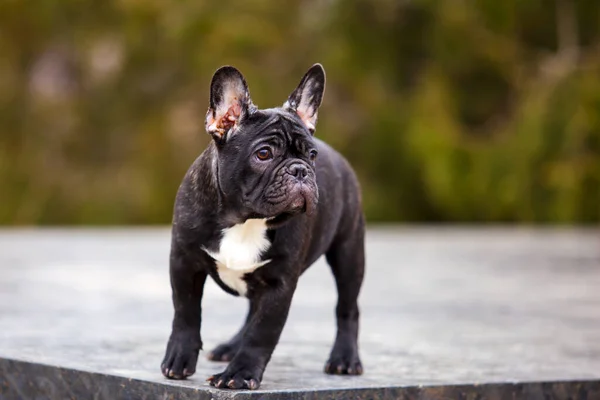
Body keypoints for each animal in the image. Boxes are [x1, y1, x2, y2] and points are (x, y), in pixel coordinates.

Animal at [161, 64, 366, 390]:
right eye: (264, 154)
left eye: (312, 155)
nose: (300, 170)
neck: (245, 219)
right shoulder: (184, 262)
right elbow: (186, 313)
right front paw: (179, 358)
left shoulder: (279, 284)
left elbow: (263, 331)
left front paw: (240, 374)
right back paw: (230, 347)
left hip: (348, 252)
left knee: (347, 307)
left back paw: (345, 359)